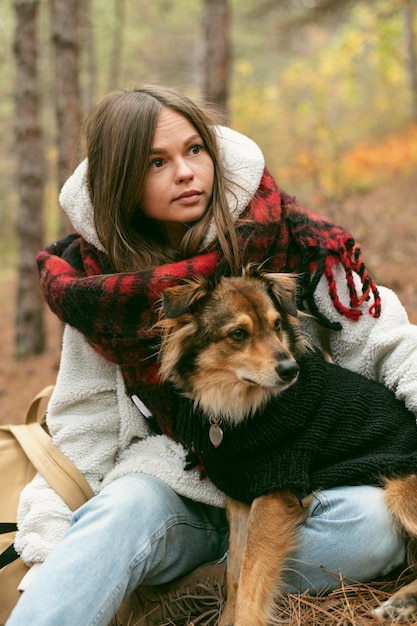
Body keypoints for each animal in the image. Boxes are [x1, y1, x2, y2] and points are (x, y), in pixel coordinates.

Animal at [158, 264, 416, 624]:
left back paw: (402, 602)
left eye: (277, 324)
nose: (290, 369)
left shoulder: (274, 494)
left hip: (402, 490)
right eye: (238, 334)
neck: (239, 408)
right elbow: (235, 574)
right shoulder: (240, 499)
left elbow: (252, 578)